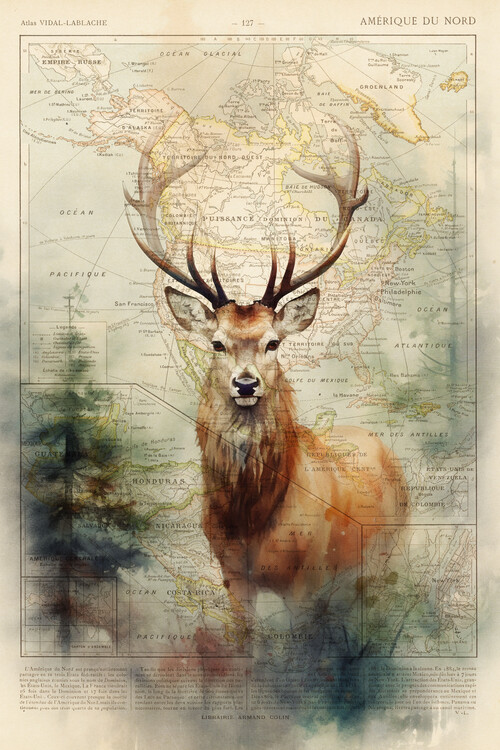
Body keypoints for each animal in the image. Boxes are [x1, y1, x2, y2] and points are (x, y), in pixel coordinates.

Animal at [124, 120, 409, 635]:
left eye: (273, 342)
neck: (251, 520)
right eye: (217, 343)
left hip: (393, 549)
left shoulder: (308, 576)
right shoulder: (232, 574)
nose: (246, 384)